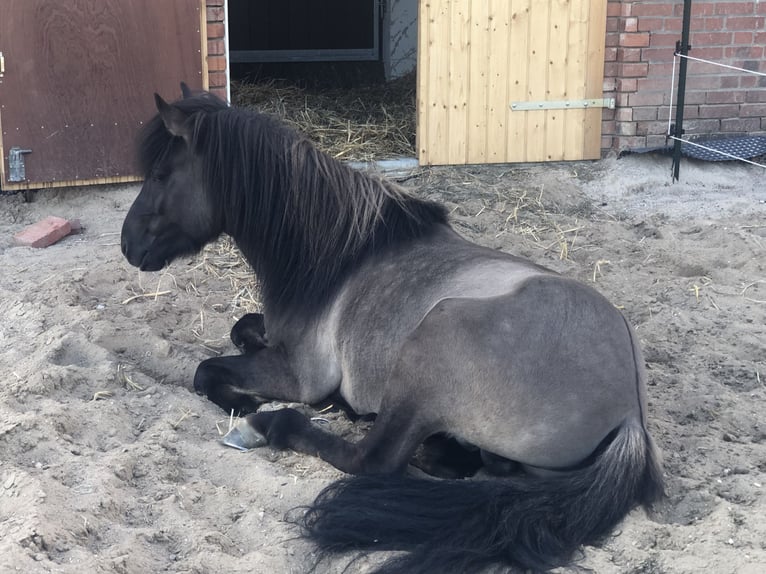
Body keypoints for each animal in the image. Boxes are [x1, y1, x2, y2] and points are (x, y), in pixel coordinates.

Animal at [121, 85, 664, 573]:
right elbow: (240, 330)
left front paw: (244, 404)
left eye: (162, 174)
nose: (128, 244)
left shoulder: (298, 374)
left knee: (374, 460)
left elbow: (206, 371)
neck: (338, 254)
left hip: (438, 334)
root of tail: (629, 417)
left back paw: (269, 426)